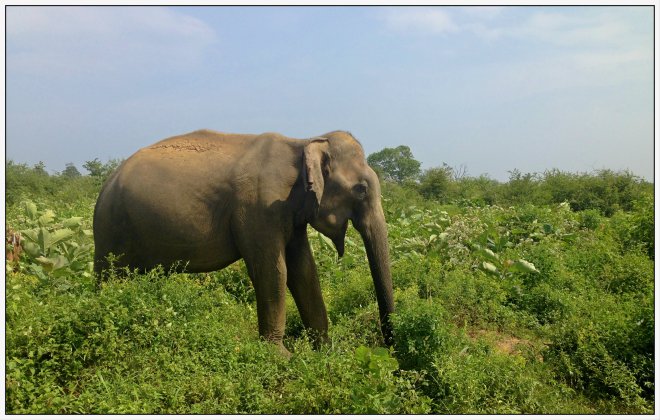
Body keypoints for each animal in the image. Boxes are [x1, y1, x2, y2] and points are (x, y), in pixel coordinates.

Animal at [93, 129, 395, 355]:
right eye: (361, 189)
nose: (389, 349)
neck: (303, 142)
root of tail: (107, 183)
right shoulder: (259, 208)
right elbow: (272, 270)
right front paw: (280, 356)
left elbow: (304, 270)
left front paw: (326, 351)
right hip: (111, 231)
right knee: (110, 277)